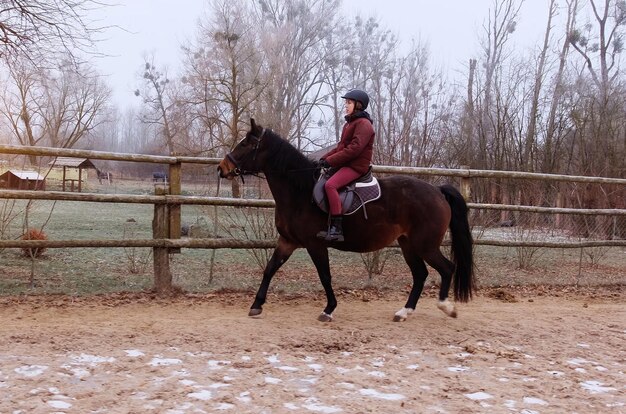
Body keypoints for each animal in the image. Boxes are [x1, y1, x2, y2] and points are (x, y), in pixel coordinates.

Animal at [218, 118, 472, 322]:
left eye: (246, 144)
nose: (222, 168)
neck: (300, 192)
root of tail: (437, 191)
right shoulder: (287, 241)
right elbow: (269, 269)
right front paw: (256, 305)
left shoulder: (315, 244)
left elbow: (325, 276)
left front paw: (329, 309)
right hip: (408, 243)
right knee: (420, 275)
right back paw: (404, 312)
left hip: (425, 245)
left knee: (446, 268)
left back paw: (446, 307)